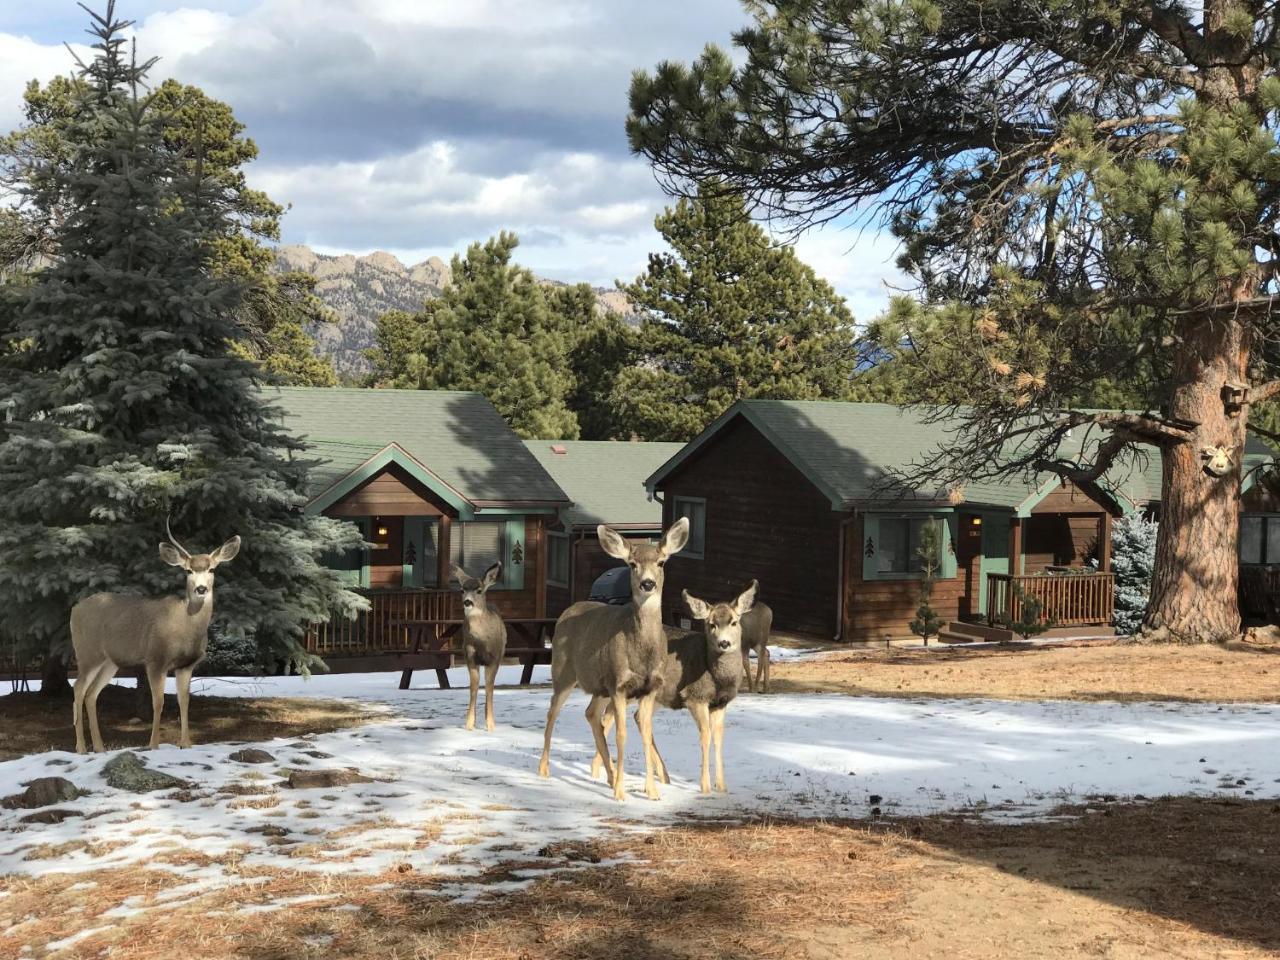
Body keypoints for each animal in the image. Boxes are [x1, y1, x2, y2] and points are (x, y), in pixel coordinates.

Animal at [70, 522, 240, 757]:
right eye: (188, 570)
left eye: (212, 569)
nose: (201, 589)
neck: (185, 626)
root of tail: (74, 610)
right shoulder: (155, 659)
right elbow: (158, 702)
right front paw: (153, 745)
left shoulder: (186, 665)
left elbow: (184, 701)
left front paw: (186, 744)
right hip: (87, 652)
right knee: (78, 688)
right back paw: (81, 748)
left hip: (110, 661)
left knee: (91, 693)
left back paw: (99, 747)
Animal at [450, 560, 504, 732]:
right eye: (462, 590)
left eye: (479, 590)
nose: (467, 602)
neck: (482, 642)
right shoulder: (470, 657)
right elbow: (473, 687)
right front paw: (469, 724)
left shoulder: (494, 658)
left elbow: (489, 687)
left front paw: (491, 725)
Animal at [535, 522, 686, 798]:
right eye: (632, 564)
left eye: (661, 562)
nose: (648, 583)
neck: (642, 654)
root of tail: (566, 611)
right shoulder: (619, 684)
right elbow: (621, 735)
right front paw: (620, 793)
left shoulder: (650, 687)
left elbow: (646, 733)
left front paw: (652, 792)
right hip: (564, 672)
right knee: (552, 711)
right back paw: (544, 769)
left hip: (599, 686)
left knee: (591, 713)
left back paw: (610, 775)